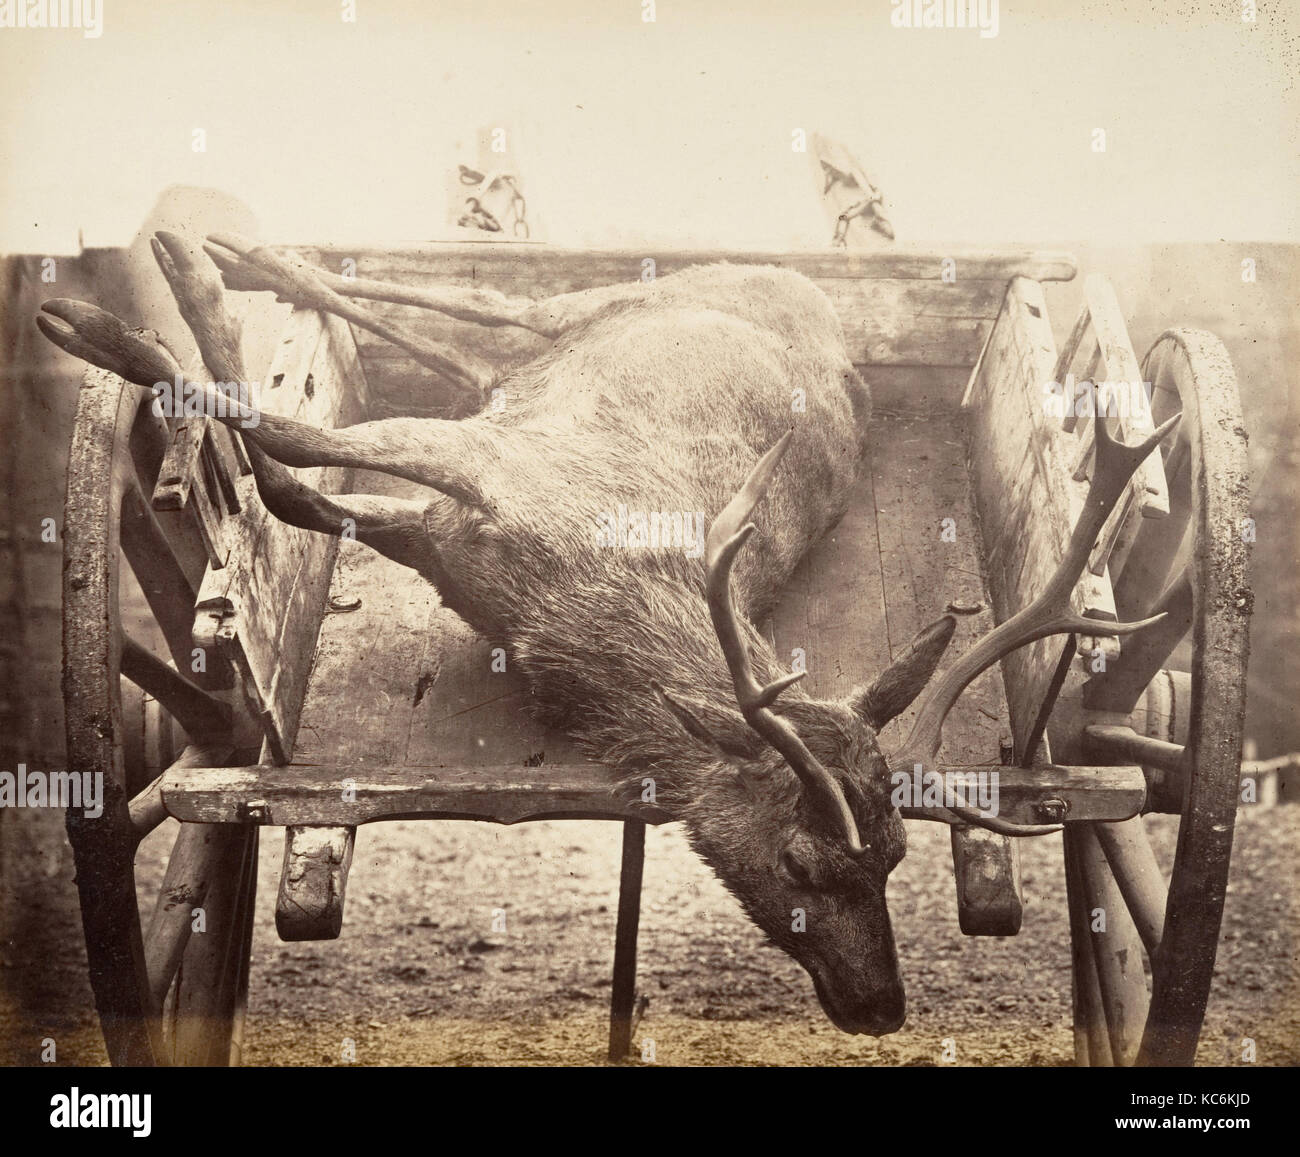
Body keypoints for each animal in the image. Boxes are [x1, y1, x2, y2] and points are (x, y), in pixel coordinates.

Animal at [38, 232, 1174, 1036]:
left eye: (896, 856)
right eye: (804, 859)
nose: (884, 1007)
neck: (564, 608)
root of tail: (807, 285)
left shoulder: (446, 525)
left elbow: (299, 481)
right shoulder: (481, 471)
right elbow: (293, 438)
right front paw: (114, 339)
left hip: (559, 349)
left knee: (467, 347)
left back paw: (212, 264)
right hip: (610, 304)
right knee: (486, 303)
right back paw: (200, 264)